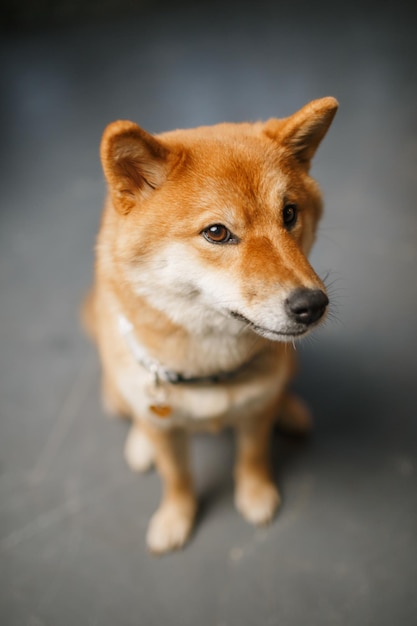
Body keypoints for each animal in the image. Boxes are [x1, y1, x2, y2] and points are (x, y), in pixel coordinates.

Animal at [84, 96, 338, 552]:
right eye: (217, 232)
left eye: (290, 213)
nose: (312, 304)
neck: (209, 371)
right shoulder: (165, 429)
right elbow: (177, 477)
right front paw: (175, 517)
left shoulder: (256, 411)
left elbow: (253, 456)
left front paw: (256, 495)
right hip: (118, 395)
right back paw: (140, 444)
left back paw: (290, 410)